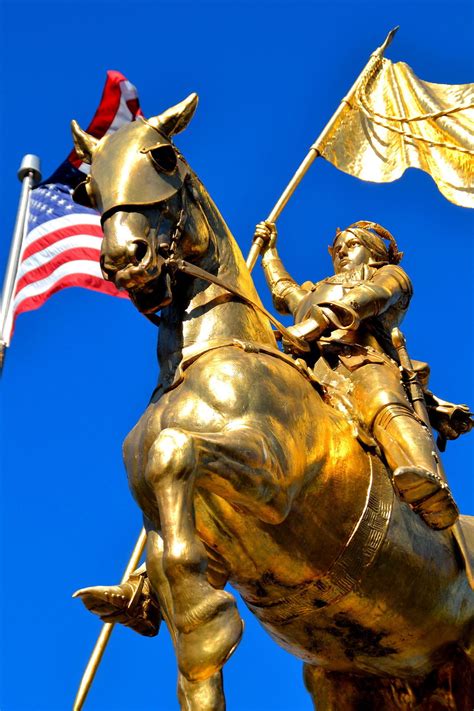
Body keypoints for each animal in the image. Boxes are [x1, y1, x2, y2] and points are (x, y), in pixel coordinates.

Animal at [71, 96, 474, 711]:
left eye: (162, 157)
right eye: (87, 187)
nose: (125, 260)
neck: (198, 362)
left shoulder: (273, 476)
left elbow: (174, 450)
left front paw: (210, 619)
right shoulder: (162, 527)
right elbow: (188, 638)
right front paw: (192, 625)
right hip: (360, 678)